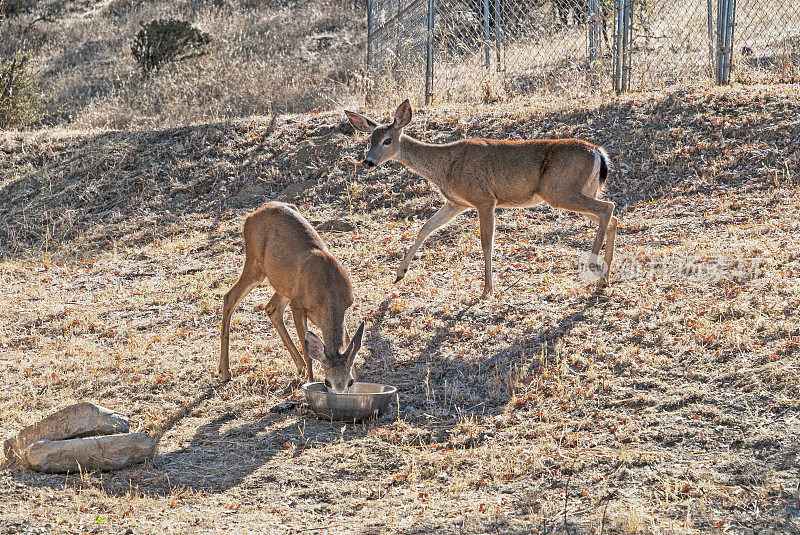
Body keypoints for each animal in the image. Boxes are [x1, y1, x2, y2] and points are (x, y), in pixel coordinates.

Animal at [220, 201, 368, 394]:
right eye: (327, 382)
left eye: (350, 382)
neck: (328, 293)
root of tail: (251, 215)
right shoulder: (297, 305)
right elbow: (308, 351)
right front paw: (309, 384)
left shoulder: (345, 306)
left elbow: (350, 343)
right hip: (256, 264)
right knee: (229, 297)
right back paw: (225, 372)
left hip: (284, 284)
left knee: (271, 308)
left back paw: (300, 367)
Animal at [346, 100, 620, 300]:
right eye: (369, 140)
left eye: (387, 140)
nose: (368, 162)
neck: (445, 167)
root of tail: (599, 153)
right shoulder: (457, 202)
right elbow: (425, 228)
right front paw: (400, 273)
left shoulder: (484, 198)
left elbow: (486, 242)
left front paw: (487, 289)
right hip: (578, 190)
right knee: (612, 216)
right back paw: (605, 277)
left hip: (560, 190)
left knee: (608, 208)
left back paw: (595, 269)